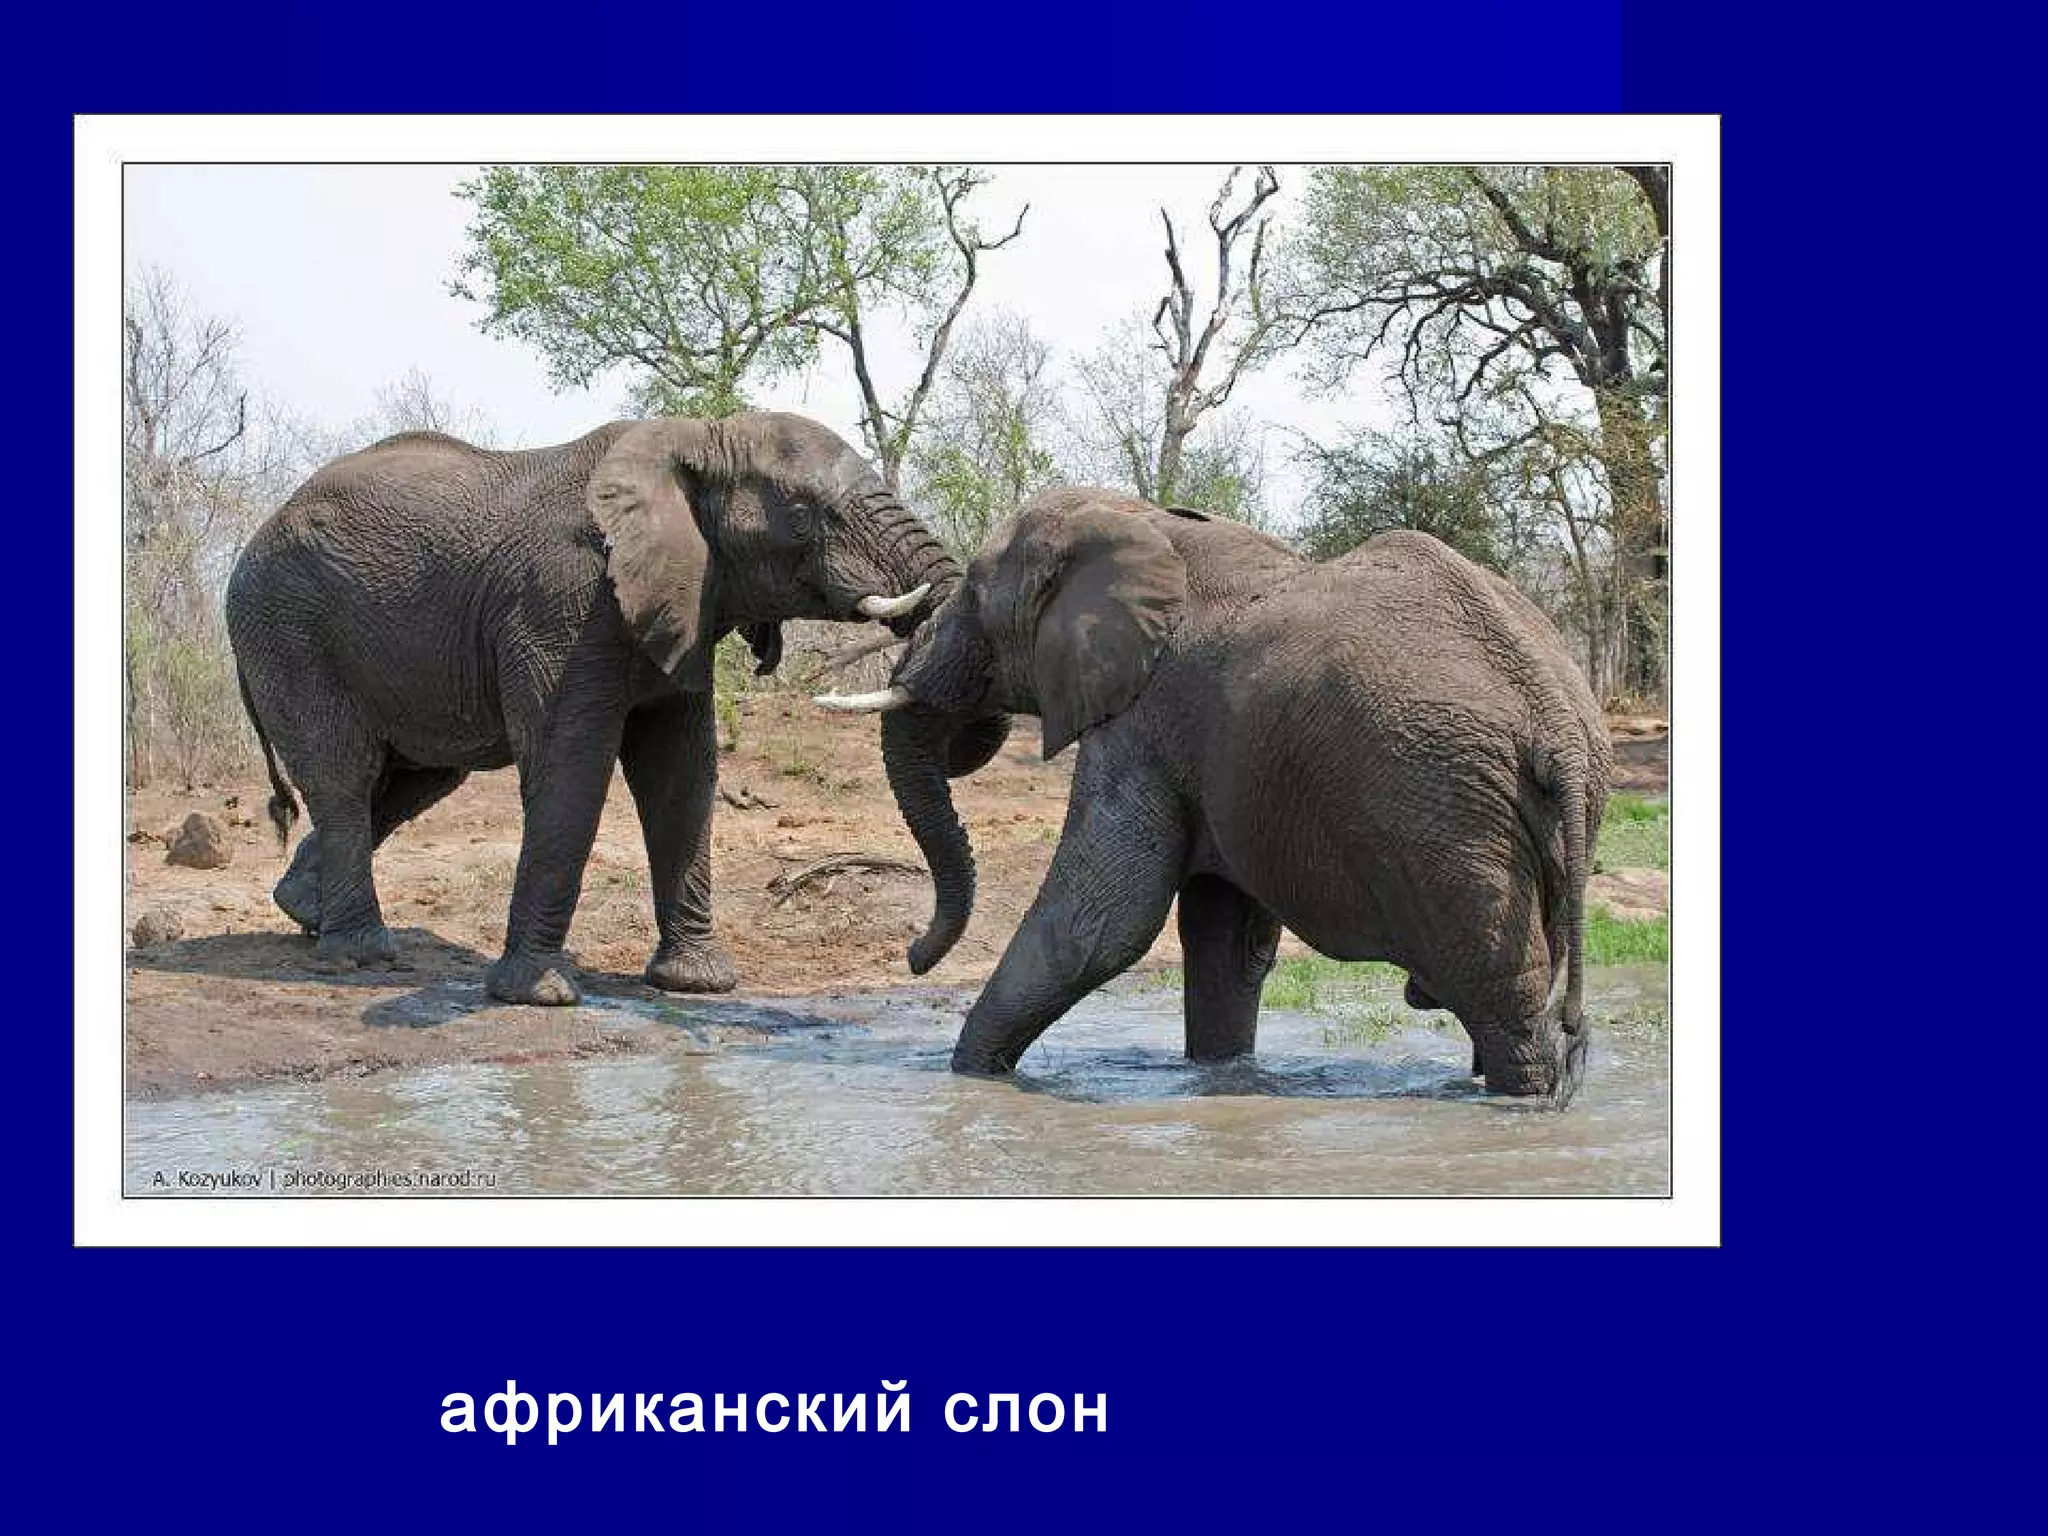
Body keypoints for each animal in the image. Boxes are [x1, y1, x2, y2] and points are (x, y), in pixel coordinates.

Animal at [225, 410, 974, 1007]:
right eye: (806, 511)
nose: (913, 958)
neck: (697, 437)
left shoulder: (687, 595)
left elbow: (681, 774)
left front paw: (697, 984)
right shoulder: (562, 603)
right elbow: (572, 768)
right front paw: (540, 996)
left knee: (414, 779)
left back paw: (304, 911)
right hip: (288, 629)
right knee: (347, 777)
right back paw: (363, 955)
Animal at [817, 487, 1613, 1103]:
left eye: (977, 595)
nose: (914, 956)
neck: (1142, 520)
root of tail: (1557, 724)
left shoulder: (1142, 717)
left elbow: (1100, 922)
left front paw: (971, 1077)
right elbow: (1224, 940)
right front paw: (1220, 1079)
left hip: (1443, 811)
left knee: (1502, 998)